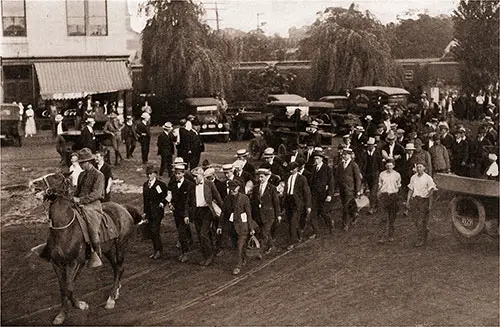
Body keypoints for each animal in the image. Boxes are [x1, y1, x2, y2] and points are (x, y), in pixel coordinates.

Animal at [29, 173, 141, 326]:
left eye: (56, 177)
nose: (33, 183)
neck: (65, 230)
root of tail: (123, 208)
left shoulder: (76, 262)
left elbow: (69, 288)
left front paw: (80, 305)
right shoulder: (57, 264)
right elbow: (63, 288)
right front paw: (62, 315)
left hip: (120, 246)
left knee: (120, 267)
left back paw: (111, 299)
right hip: (108, 250)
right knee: (116, 268)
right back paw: (116, 291)